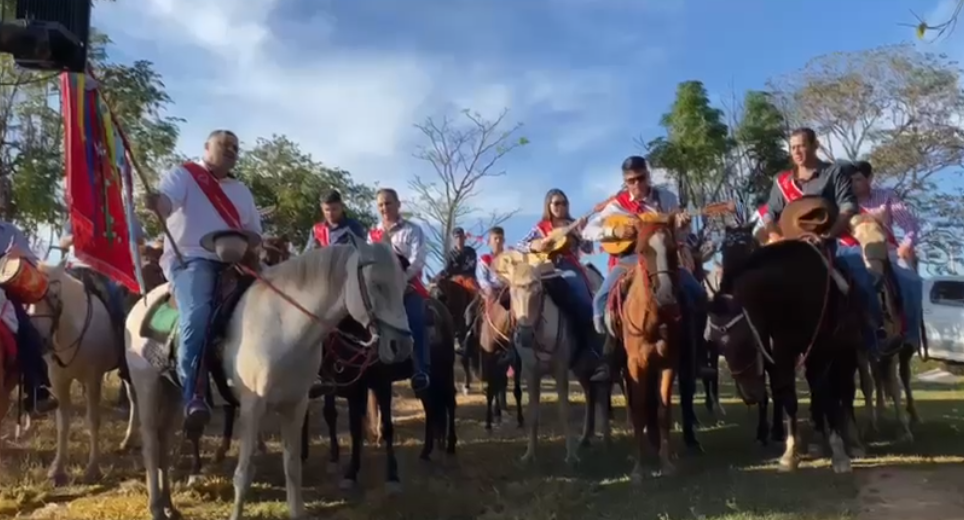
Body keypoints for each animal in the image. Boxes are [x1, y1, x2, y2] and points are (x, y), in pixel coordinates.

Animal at [27, 264, 132, 488]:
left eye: (53, 295)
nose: (39, 342)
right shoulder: (59, 381)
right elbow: (63, 423)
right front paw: (57, 471)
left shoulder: (93, 379)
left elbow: (93, 420)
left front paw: (93, 470)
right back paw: (128, 441)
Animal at [126, 243, 412, 520]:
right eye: (376, 283)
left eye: (404, 287)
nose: (402, 346)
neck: (283, 326)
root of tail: (139, 304)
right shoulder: (252, 409)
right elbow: (243, 474)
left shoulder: (295, 406)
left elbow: (293, 468)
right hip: (147, 387)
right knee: (151, 444)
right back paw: (156, 508)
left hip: (173, 392)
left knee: (163, 442)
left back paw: (169, 506)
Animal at [852, 213, 920, 440]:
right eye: (856, 241)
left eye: (884, 241)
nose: (875, 280)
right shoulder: (862, 348)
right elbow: (867, 384)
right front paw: (869, 425)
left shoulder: (892, 347)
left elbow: (894, 384)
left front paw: (905, 428)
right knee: (878, 377)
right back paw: (880, 412)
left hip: (906, 348)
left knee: (904, 377)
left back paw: (913, 415)